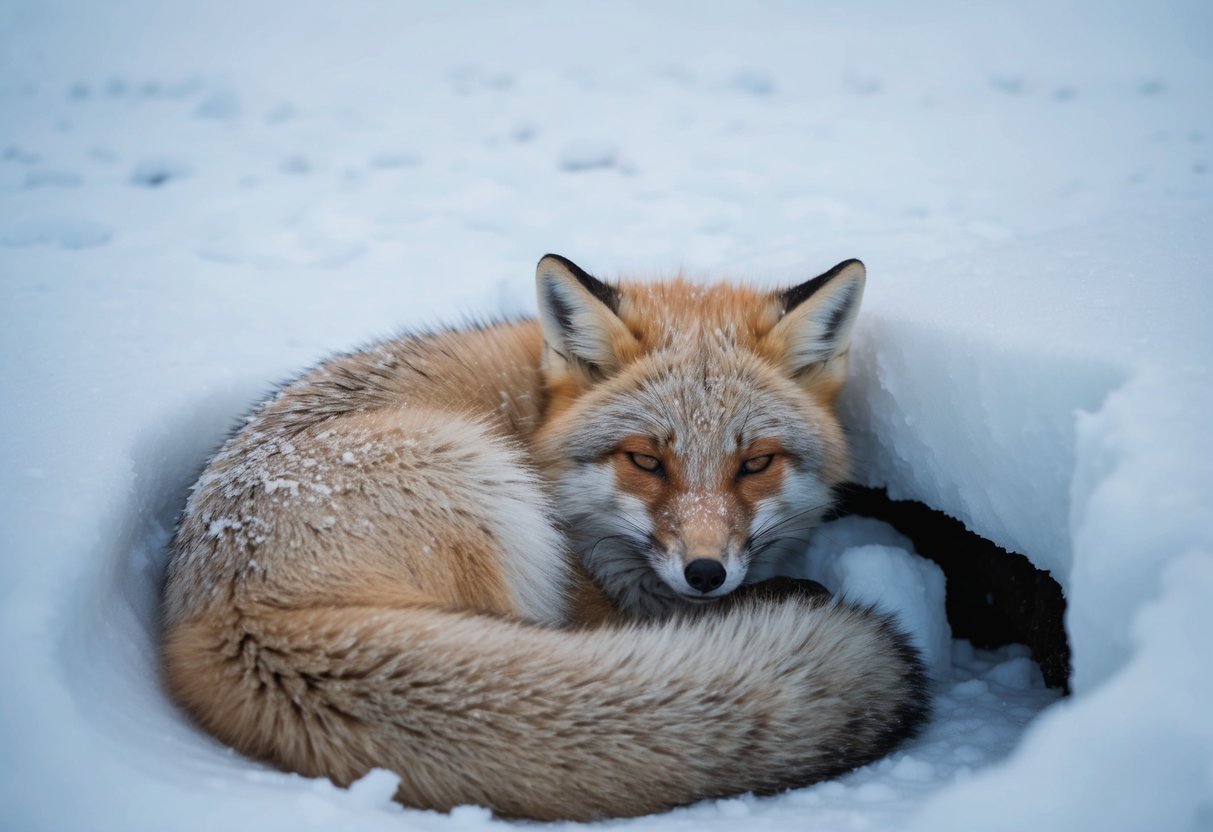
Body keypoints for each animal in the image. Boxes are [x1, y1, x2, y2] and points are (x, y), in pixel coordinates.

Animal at [161, 254, 929, 821]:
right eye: (646, 460)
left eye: (755, 464)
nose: (706, 573)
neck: (534, 423)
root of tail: (230, 616)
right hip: (481, 484)